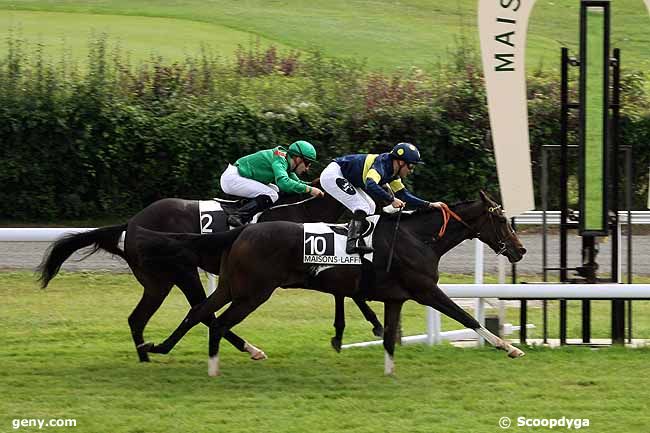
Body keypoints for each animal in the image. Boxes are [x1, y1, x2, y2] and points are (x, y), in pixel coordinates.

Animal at [36, 182, 380, 362]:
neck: (301, 212)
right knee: (201, 311)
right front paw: (373, 326)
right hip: (180, 273)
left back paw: (146, 355)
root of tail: (131, 223)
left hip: (160, 281)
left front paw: (368, 326)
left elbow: (349, 293)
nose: (378, 212)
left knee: (146, 317)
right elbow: (352, 293)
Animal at [134, 190, 524, 374]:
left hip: (234, 286)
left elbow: (384, 330)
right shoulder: (425, 290)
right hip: (252, 292)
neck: (418, 237)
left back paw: (159, 347)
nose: (519, 250)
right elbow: (466, 317)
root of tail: (242, 229)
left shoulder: (393, 296)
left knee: (199, 312)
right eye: (501, 220)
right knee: (215, 321)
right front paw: (509, 347)